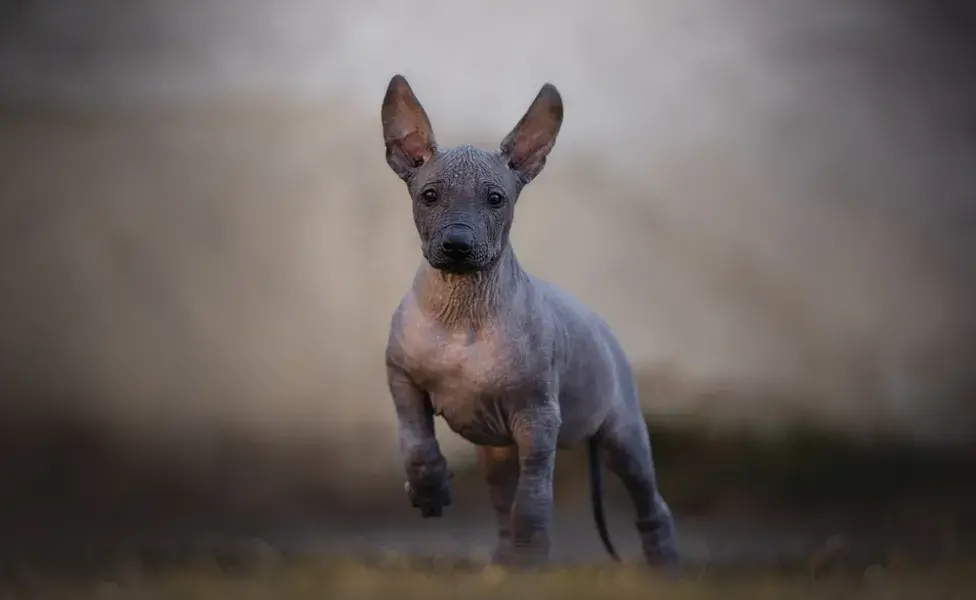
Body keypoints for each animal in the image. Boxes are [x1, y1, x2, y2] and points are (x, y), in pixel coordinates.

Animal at [382, 74, 680, 568]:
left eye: (495, 199)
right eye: (429, 196)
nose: (458, 244)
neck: (462, 310)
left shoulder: (538, 419)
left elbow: (534, 498)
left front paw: (532, 555)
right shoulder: (402, 377)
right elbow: (415, 439)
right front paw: (430, 489)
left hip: (622, 436)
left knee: (650, 502)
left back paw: (664, 565)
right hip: (498, 449)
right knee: (502, 502)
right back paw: (503, 565)